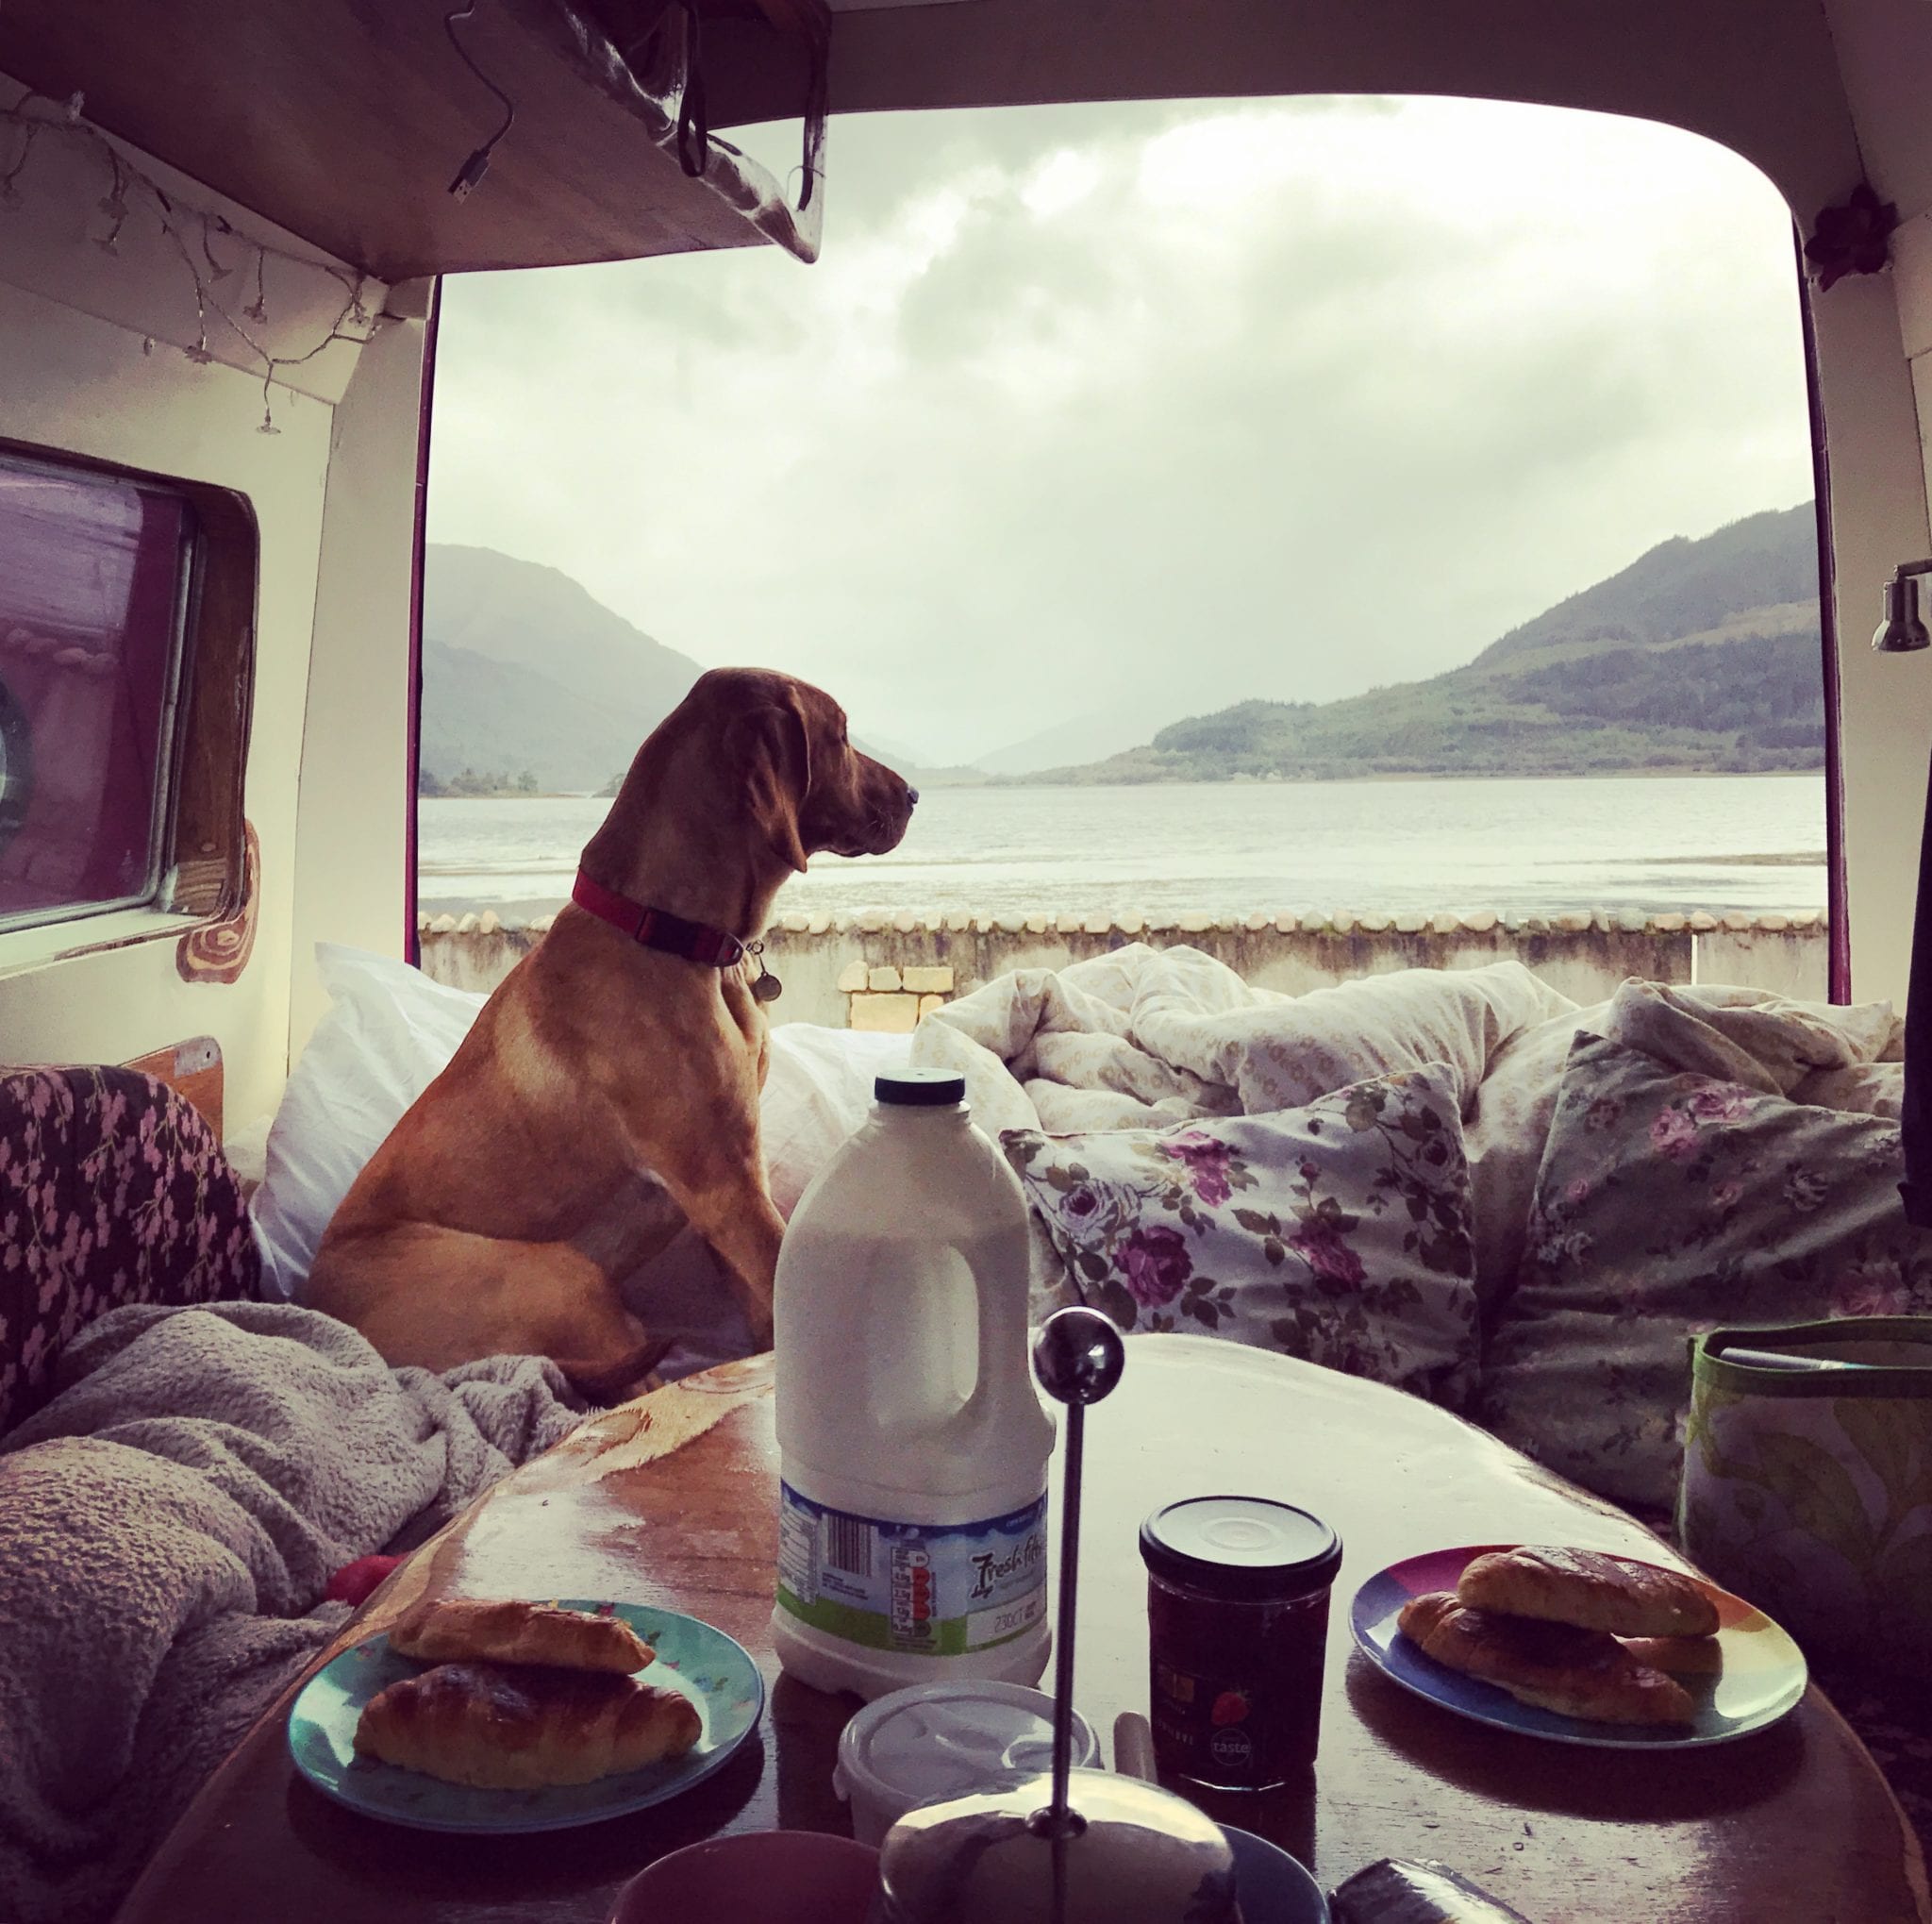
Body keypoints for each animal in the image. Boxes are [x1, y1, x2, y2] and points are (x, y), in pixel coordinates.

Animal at [303, 668, 919, 1390]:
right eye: (842, 735)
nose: (914, 793)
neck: (668, 933)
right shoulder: (727, 1187)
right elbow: (776, 1286)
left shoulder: (728, 1187)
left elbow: (761, 1311)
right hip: (558, 1272)